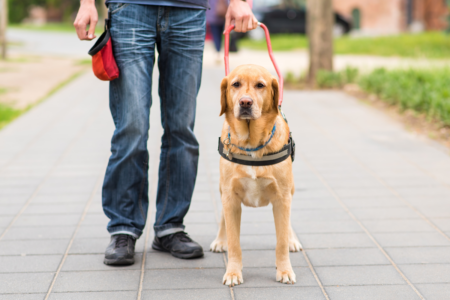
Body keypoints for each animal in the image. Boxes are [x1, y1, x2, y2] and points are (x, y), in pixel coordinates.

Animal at [210, 65, 302, 286]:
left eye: (261, 85)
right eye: (235, 84)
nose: (245, 102)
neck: (251, 143)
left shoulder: (282, 198)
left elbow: (281, 242)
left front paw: (285, 270)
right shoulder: (230, 198)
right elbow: (234, 243)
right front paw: (233, 272)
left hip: (290, 190)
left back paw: (292, 239)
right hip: (222, 190)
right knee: (223, 220)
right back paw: (220, 240)